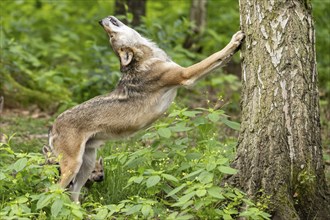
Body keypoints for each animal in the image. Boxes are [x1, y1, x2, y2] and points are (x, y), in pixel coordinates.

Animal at [48, 15, 245, 201]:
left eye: (110, 37)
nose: (100, 21)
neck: (148, 55)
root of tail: (53, 126)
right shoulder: (185, 75)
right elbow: (214, 56)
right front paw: (236, 39)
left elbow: (220, 60)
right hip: (73, 167)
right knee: (52, 191)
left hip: (87, 165)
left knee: (72, 193)